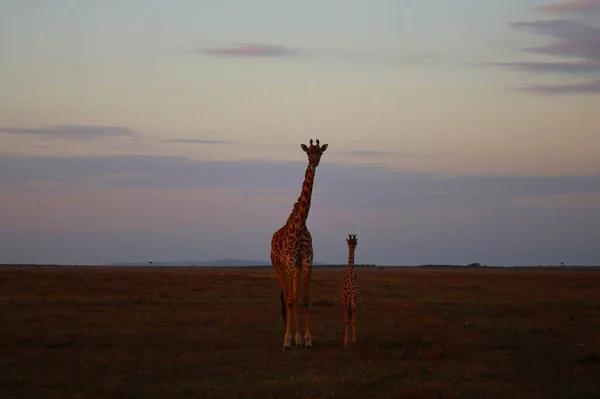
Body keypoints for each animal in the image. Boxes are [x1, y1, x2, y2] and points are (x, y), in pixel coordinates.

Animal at [270, 139, 328, 348]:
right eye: (307, 152)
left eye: (320, 152)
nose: (313, 161)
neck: (300, 224)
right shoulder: (288, 262)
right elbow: (289, 300)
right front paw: (287, 340)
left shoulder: (306, 262)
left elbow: (304, 299)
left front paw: (307, 339)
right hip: (278, 267)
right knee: (287, 297)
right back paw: (289, 337)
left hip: (295, 268)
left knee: (293, 297)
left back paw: (297, 337)